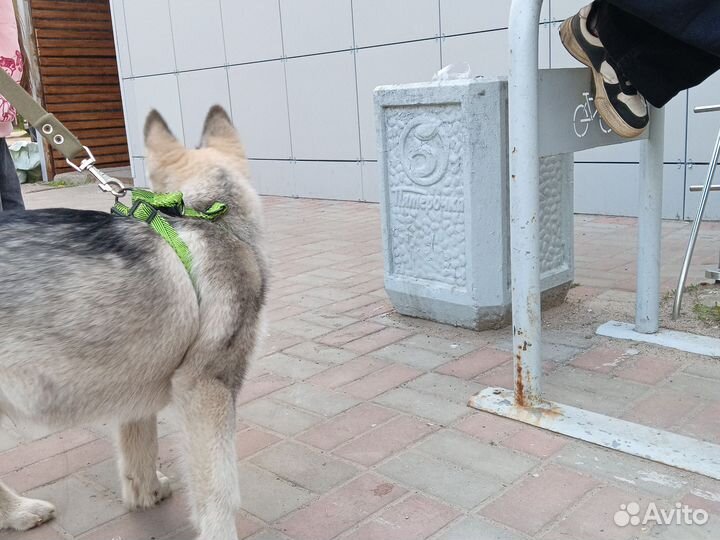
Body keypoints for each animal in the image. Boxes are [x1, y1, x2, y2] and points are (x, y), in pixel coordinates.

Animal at [0, 106, 268, 540]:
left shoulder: (135, 378)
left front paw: (146, 492)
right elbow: (220, 492)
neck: (204, 216)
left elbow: (138, 446)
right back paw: (19, 512)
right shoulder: (206, 388)